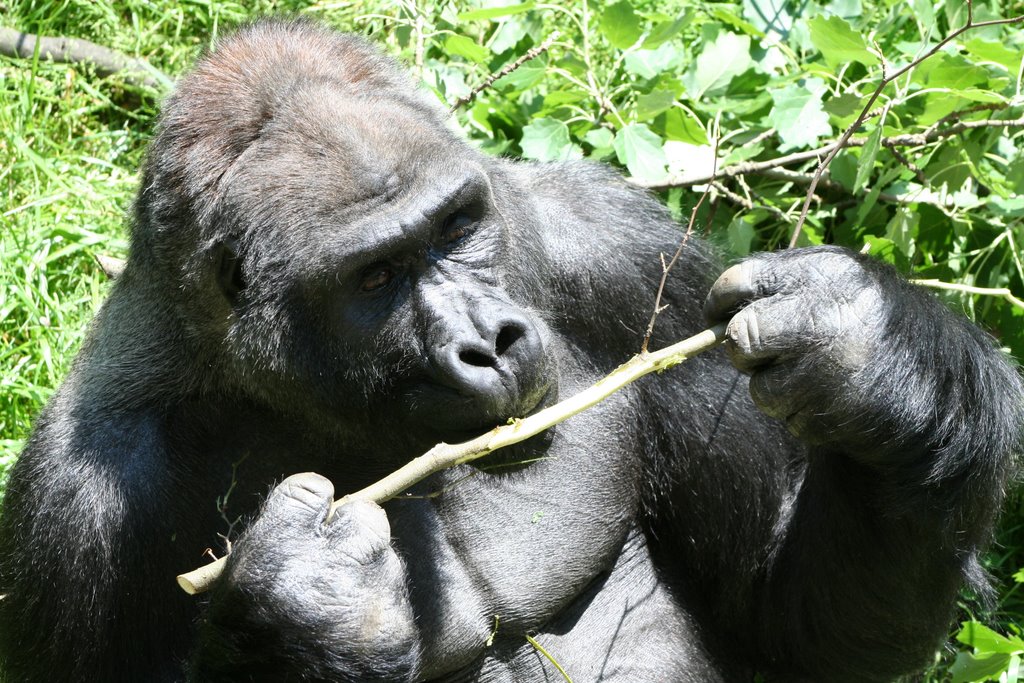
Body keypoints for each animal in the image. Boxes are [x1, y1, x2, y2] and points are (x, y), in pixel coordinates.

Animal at [2, 15, 1024, 683]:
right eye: (375, 276)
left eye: (458, 226)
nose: (489, 343)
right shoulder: (78, 504)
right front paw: (303, 614)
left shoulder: (618, 251)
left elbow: (795, 629)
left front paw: (884, 367)